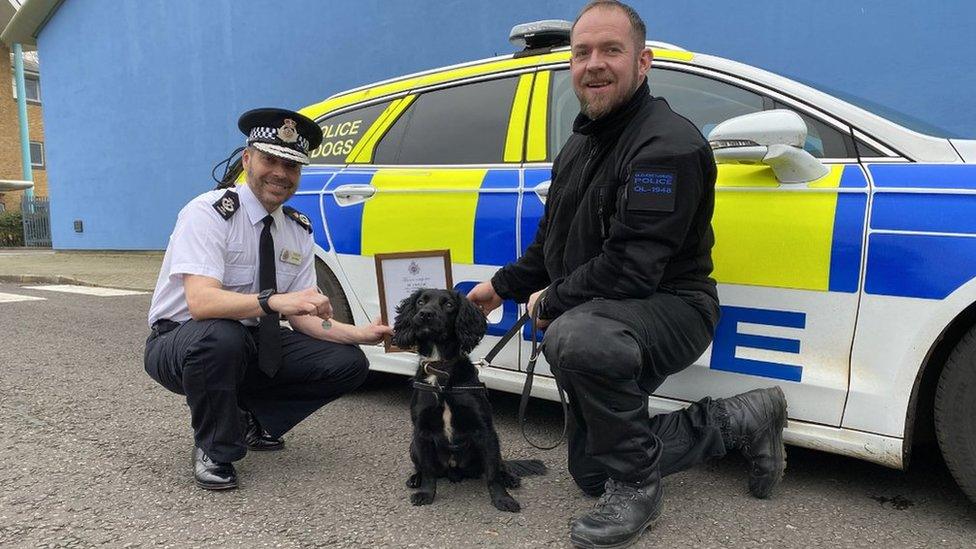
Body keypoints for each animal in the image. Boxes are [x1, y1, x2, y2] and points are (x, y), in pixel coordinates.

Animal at [396, 286, 548, 510]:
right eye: (420, 302)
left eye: (449, 304)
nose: (425, 314)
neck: (442, 372)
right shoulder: (421, 431)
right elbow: (428, 470)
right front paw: (425, 493)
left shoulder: (485, 430)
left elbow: (493, 474)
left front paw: (503, 499)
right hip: (413, 446)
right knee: (422, 467)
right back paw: (415, 479)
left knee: (499, 465)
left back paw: (509, 478)